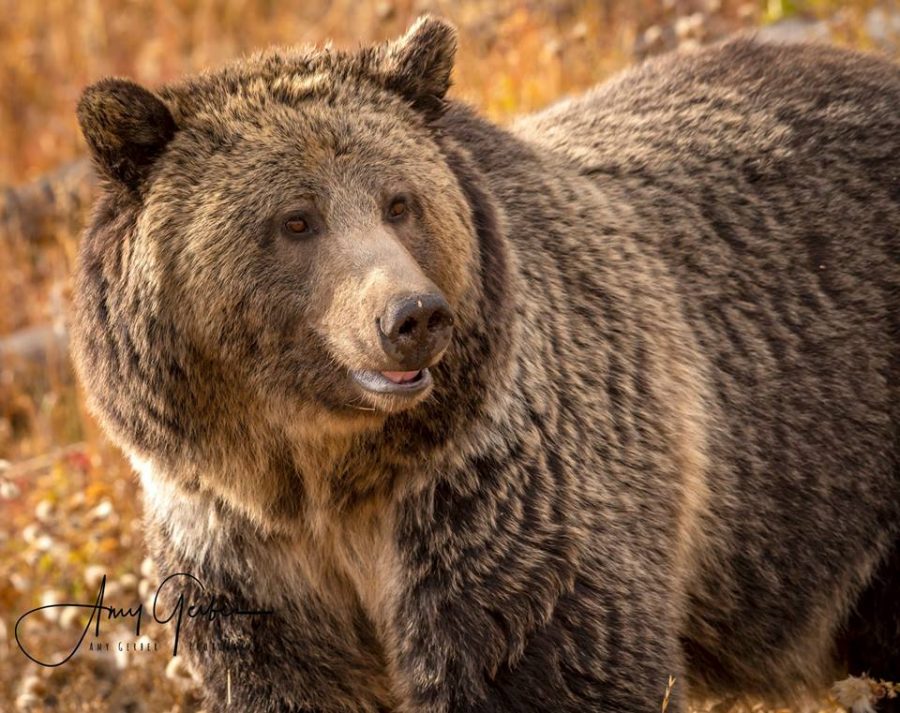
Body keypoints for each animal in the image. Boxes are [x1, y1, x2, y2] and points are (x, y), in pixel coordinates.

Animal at [72, 16, 900, 712]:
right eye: (296, 220)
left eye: (398, 201)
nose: (411, 316)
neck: (330, 475)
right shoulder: (243, 548)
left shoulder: (495, 504)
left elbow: (546, 664)